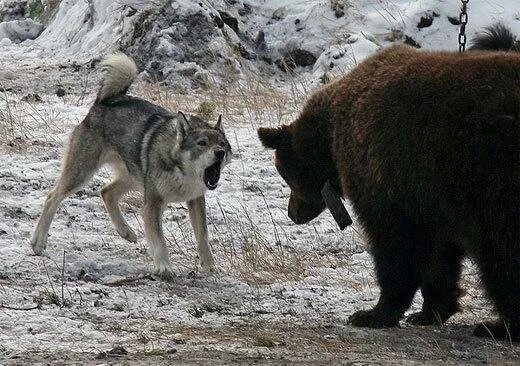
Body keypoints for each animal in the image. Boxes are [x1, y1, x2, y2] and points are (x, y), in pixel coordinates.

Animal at [29, 53, 231, 278]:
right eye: (202, 143)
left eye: (222, 144)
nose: (220, 153)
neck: (182, 173)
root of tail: (104, 101)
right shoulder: (152, 204)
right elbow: (159, 241)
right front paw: (164, 267)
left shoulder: (195, 200)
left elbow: (203, 236)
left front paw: (210, 267)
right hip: (82, 175)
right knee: (52, 197)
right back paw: (38, 243)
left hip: (134, 179)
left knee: (106, 191)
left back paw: (126, 232)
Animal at [258, 27, 516, 342]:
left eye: (287, 177)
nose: (293, 213)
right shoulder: (429, 196)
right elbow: (440, 254)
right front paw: (430, 310)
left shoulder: (387, 176)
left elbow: (395, 244)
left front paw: (372, 313)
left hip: (492, 174)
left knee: (501, 252)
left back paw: (497, 326)